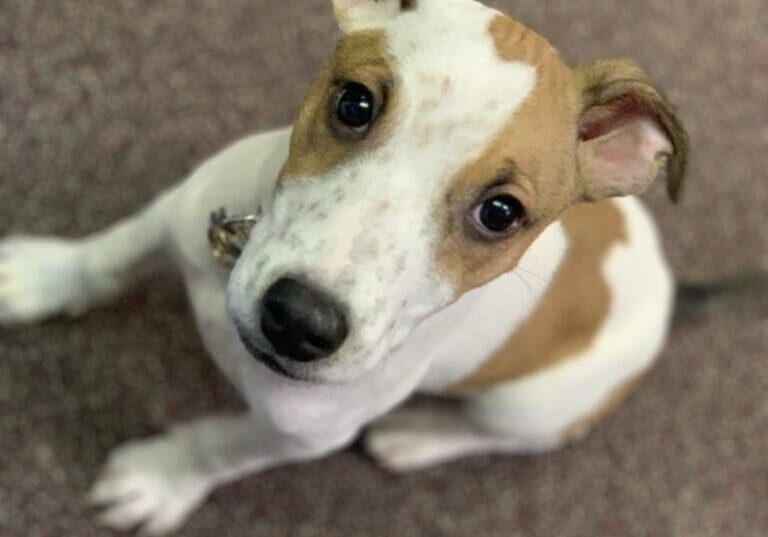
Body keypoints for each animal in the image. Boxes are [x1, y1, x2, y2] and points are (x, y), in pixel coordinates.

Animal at [0, 0, 688, 532]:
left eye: (500, 213)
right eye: (355, 104)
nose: (299, 321)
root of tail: (669, 281)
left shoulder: (303, 434)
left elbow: (220, 448)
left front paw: (158, 478)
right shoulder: (181, 211)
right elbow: (106, 259)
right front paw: (42, 278)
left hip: (534, 402)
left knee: (515, 433)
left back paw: (417, 436)